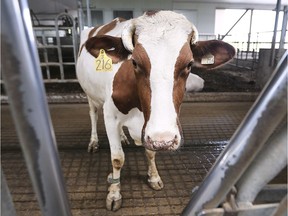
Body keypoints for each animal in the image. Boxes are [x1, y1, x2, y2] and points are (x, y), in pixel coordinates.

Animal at [76, 10, 234, 211]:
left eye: (189, 64)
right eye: (134, 62)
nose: (165, 140)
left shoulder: (149, 129)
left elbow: (150, 152)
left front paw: (154, 177)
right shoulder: (110, 115)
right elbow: (117, 158)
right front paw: (114, 194)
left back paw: (123, 137)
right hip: (89, 94)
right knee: (92, 114)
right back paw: (94, 142)